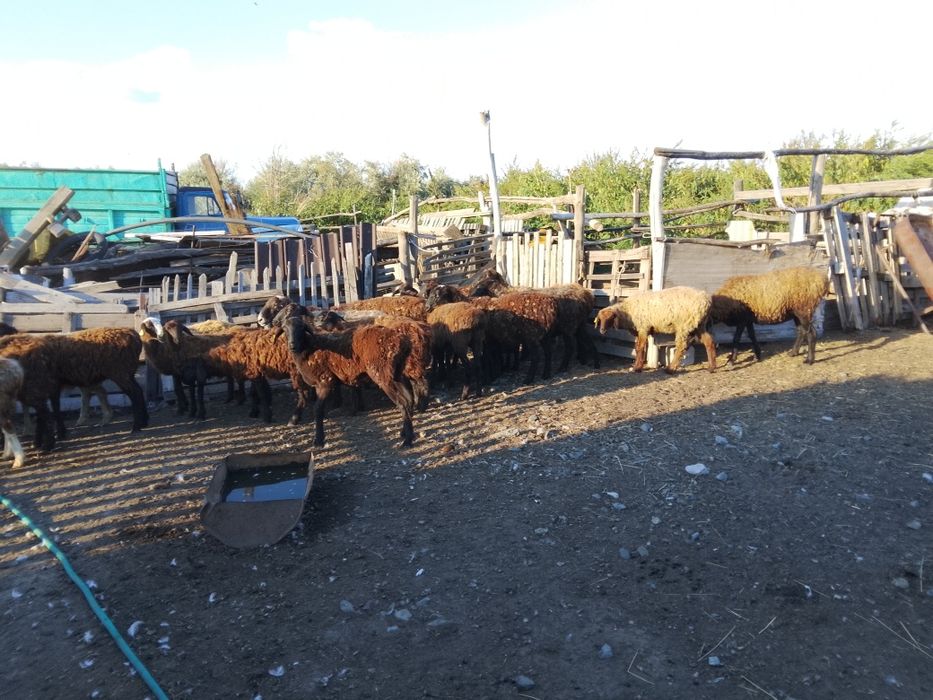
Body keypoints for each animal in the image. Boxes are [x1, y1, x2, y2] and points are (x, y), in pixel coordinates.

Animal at [282, 315, 417, 447]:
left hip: (383, 375)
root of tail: (402, 341)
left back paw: (408, 440)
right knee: (409, 400)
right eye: (285, 329)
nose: (292, 346)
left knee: (402, 403)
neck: (310, 349)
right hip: (396, 374)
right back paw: (405, 433)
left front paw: (318, 440)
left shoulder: (325, 382)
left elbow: (318, 410)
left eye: (301, 328)